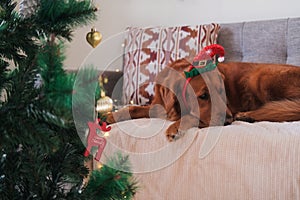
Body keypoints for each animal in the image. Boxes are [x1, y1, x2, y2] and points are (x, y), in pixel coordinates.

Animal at [106, 58, 300, 141]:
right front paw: (111, 116)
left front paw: (176, 127)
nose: (228, 120)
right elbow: (134, 108)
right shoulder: (159, 106)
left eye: (223, 92)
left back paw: (247, 115)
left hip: (259, 76)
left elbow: (192, 116)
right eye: (204, 96)